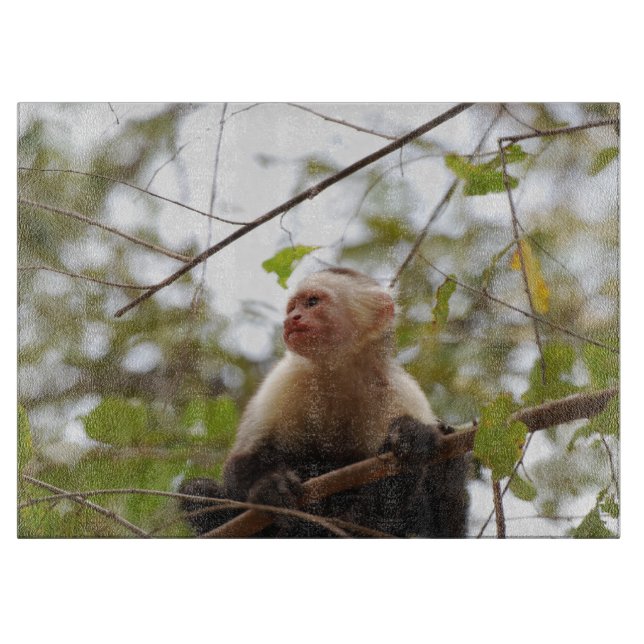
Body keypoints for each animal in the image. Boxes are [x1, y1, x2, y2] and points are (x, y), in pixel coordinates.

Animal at [179, 268, 468, 537]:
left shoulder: (401, 392)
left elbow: (416, 516)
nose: (291, 319)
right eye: (292, 307)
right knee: (198, 491)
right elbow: (243, 461)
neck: (336, 372)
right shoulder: (285, 379)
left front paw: (412, 436)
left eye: (312, 302)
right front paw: (270, 487)